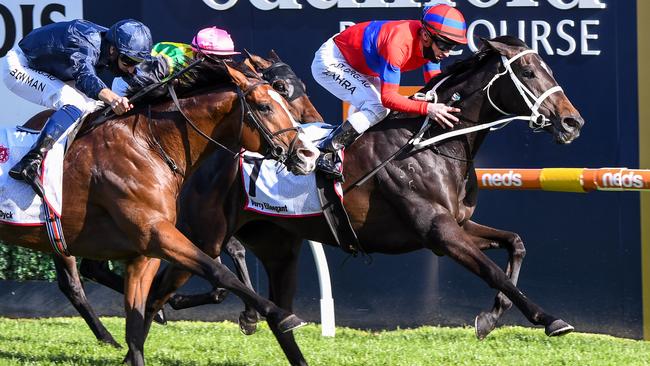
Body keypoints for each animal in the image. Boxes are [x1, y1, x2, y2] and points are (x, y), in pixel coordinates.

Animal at [0, 58, 318, 364]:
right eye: (265, 106)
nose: (308, 154)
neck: (149, 145)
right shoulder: (157, 234)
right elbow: (217, 270)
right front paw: (278, 314)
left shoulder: (144, 254)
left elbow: (136, 328)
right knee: (73, 285)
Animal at [135, 36, 584, 364]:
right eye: (527, 71)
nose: (572, 121)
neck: (430, 144)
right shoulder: (437, 232)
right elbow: (493, 272)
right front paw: (549, 319)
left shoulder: (458, 223)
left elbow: (515, 244)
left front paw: (490, 318)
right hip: (204, 235)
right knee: (160, 289)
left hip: (276, 243)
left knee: (275, 314)